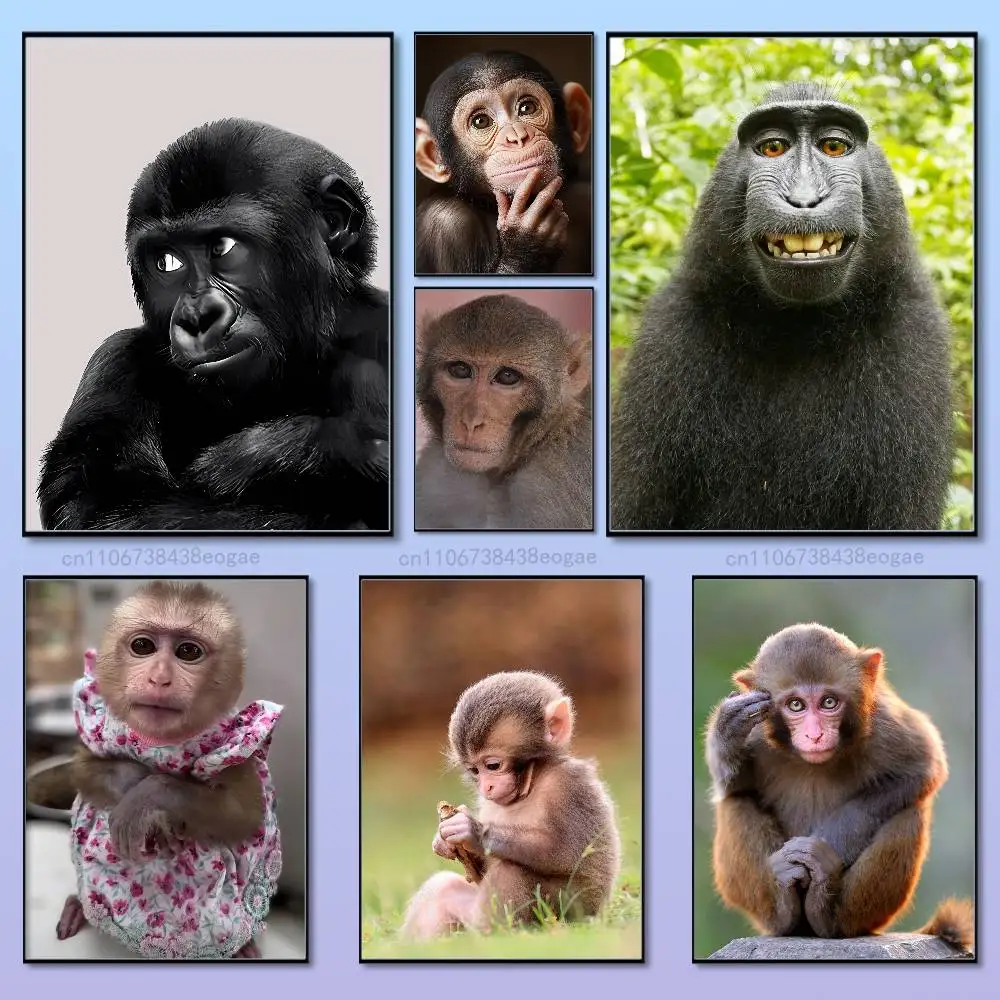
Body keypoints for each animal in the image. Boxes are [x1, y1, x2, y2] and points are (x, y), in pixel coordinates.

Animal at [55, 582, 284, 960]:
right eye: (142, 646)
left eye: (187, 651)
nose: (159, 678)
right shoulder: (95, 715)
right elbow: (83, 769)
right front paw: (136, 783)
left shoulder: (239, 740)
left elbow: (245, 815)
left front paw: (150, 797)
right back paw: (78, 906)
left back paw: (241, 945)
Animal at [401, 671, 620, 939]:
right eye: (475, 771)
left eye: (493, 765)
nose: (486, 787)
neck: (530, 784)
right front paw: (443, 841)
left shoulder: (570, 784)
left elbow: (565, 851)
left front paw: (474, 831)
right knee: (443, 886)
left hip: (563, 912)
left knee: (511, 868)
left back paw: (495, 934)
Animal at [611, 82, 954, 531]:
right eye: (773, 148)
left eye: (833, 146)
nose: (804, 200)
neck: (798, 329)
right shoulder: (670, 330)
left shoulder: (914, 335)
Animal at [705, 622, 973, 955]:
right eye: (795, 705)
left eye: (829, 702)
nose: (815, 735)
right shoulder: (755, 728)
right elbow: (733, 784)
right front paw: (726, 730)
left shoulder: (886, 721)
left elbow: (922, 769)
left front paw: (819, 852)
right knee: (736, 802)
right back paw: (783, 911)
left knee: (909, 812)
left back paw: (828, 912)